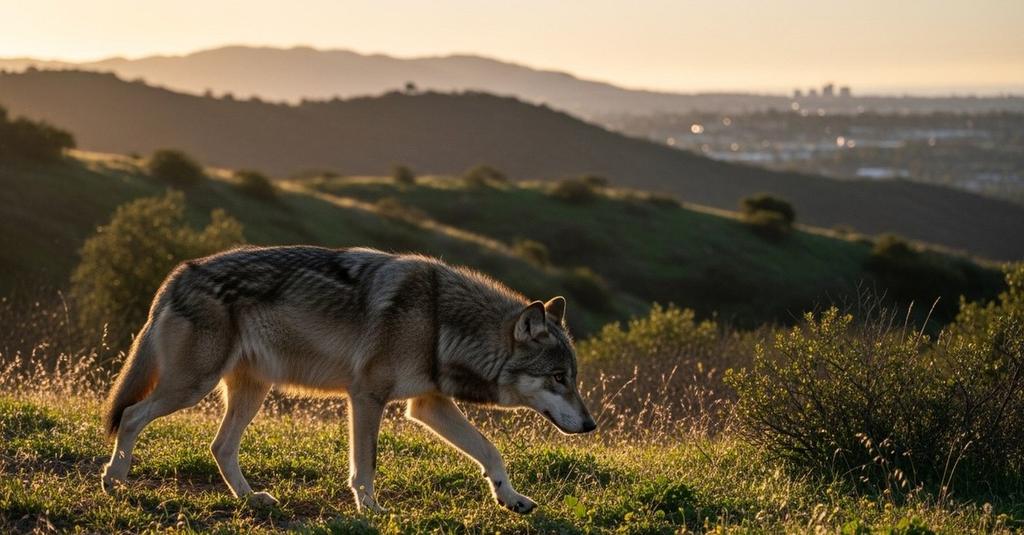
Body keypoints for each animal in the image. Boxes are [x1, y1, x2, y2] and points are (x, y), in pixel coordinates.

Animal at [100, 245, 596, 513]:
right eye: (558, 377)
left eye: (573, 378)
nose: (591, 425)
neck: (440, 322)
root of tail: (178, 274)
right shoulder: (367, 397)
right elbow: (365, 465)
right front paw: (370, 509)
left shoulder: (428, 405)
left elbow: (491, 451)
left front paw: (511, 499)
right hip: (192, 387)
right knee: (132, 415)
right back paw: (114, 480)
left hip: (250, 392)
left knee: (219, 447)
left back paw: (251, 499)